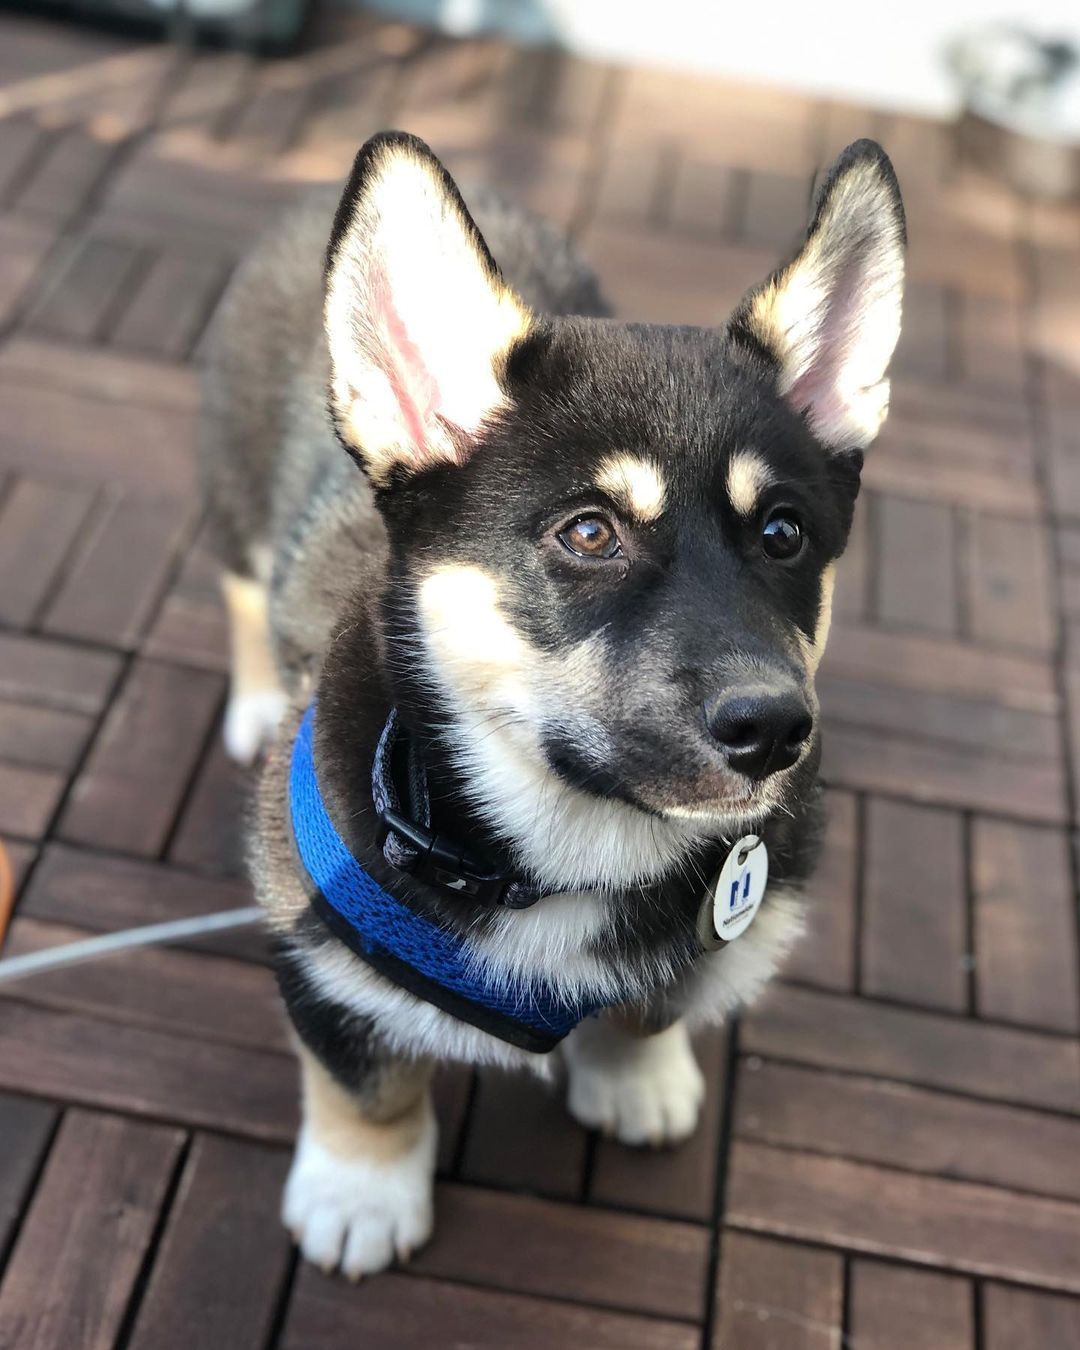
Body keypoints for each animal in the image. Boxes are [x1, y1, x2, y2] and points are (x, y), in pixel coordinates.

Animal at [199, 131, 901, 1279]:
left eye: (784, 533)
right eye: (588, 532)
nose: (774, 732)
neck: (570, 849)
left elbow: (652, 1009)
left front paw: (638, 1083)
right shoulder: (318, 950)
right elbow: (367, 1083)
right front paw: (360, 1195)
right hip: (232, 489)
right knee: (245, 588)